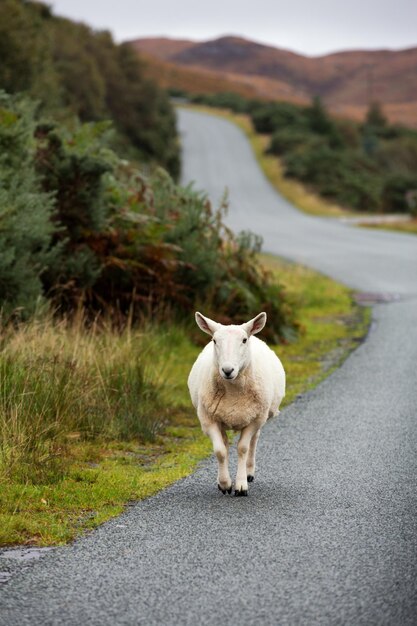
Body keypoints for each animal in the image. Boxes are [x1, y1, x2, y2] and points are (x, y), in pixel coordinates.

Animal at [187, 310, 284, 494]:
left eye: (244, 340)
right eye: (214, 341)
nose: (227, 370)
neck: (233, 393)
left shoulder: (254, 420)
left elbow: (242, 448)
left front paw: (240, 485)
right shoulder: (208, 419)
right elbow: (220, 451)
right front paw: (225, 483)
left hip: (261, 415)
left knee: (254, 441)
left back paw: (249, 472)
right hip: (221, 418)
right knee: (225, 443)